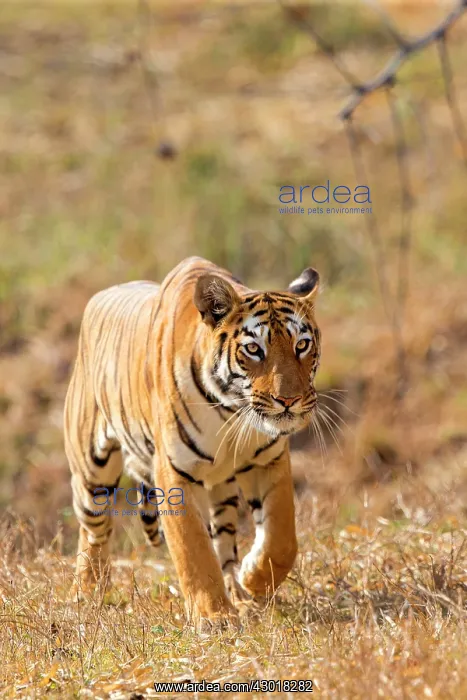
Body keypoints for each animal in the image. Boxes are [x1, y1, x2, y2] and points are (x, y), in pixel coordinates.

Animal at [64, 256, 321, 630]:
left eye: (301, 345)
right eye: (254, 349)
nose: (289, 400)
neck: (231, 411)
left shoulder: (267, 460)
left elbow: (282, 538)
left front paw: (253, 580)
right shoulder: (175, 473)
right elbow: (194, 549)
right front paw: (214, 616)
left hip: (222, 490)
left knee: (224, 543)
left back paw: (239, 594)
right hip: (91, 470)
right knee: (93, 530)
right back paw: (87, 593)